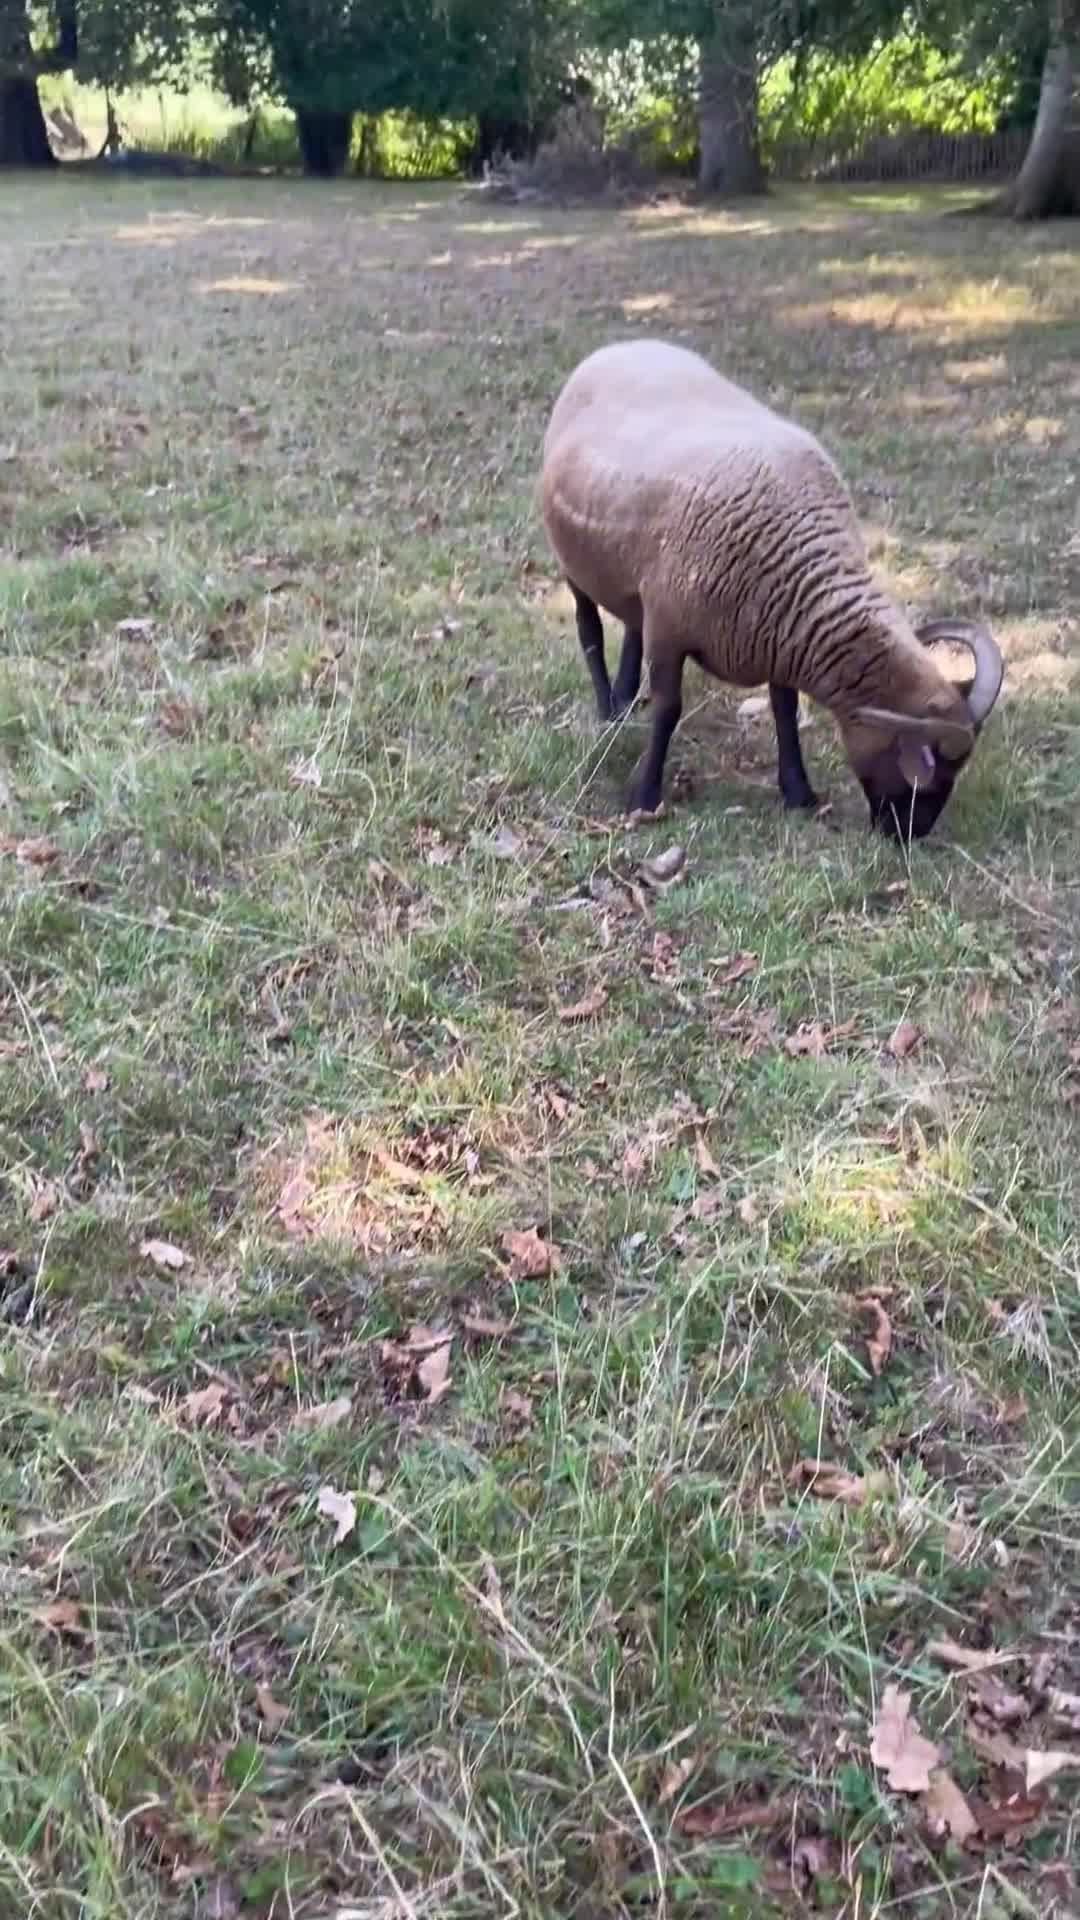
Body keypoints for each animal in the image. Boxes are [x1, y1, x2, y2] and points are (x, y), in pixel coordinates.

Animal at [540, 339, 1003, 838]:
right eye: (928, 771)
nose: (908, 834)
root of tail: (619, 346)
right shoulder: (671, 626)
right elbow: (668, 708)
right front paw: (644, 796)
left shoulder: (776, 631)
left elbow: (784, 708)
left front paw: (798, 791)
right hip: (574, 565)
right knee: (589, 629)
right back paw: (608, 710)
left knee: (629, 623)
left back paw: (625, 700)